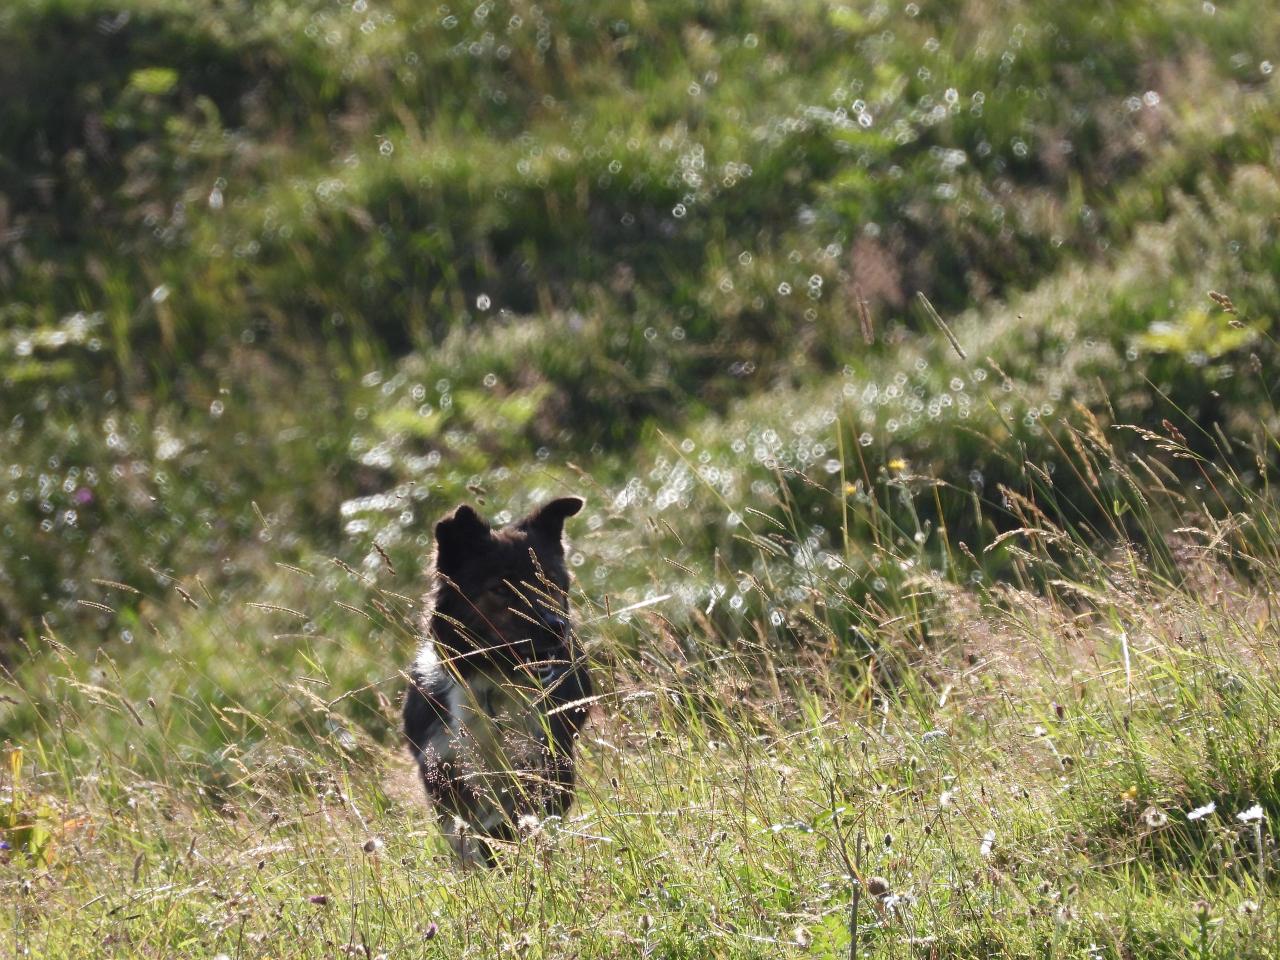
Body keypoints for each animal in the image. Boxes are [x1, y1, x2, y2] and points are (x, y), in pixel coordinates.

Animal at [401, 499, 591, 870]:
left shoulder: (546, 758)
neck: (494, 682)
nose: (556, 627)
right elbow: (464, 837)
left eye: (550, 582)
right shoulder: (442, 767)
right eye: (501, 589)